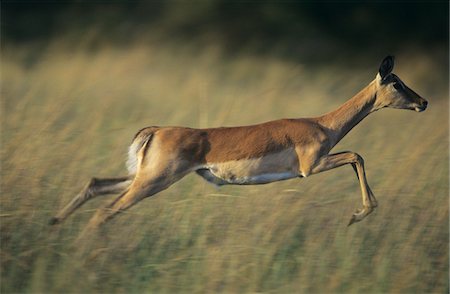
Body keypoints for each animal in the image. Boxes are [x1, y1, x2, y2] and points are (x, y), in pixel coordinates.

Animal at [49, 56, 428, 229]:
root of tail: (155, 130)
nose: (423, 102)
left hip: (141, 177)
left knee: (96, 184)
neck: (322, 124)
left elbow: (357, 157)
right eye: (396, 83)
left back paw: (54, 223)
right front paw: (357, 214)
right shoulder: (312, 166)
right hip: (153, 181)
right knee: (106, 211)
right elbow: (357, 155)